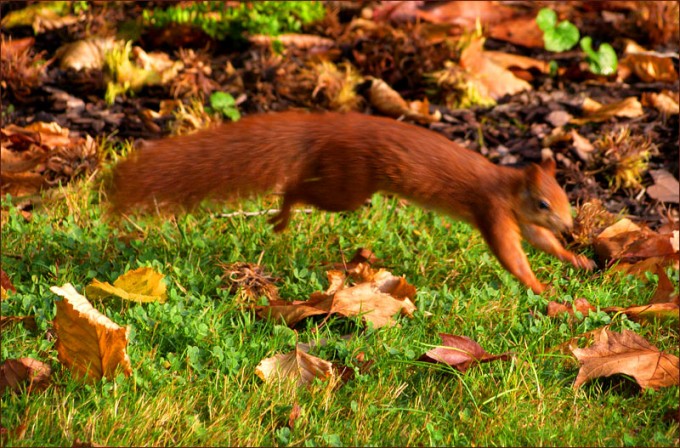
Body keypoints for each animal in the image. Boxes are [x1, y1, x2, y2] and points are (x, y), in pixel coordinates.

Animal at [109, 111, 595, 293]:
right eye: (544, 202)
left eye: (566, 199)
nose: (572, 227)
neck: (508, 188)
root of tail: (332, 127)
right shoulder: (492, 211)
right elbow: (510, 254)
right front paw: (540, 287)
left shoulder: (518, 220)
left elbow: (539, 244)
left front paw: (576, 260)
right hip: (349, 188)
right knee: (298, 189)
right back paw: (282, 215)